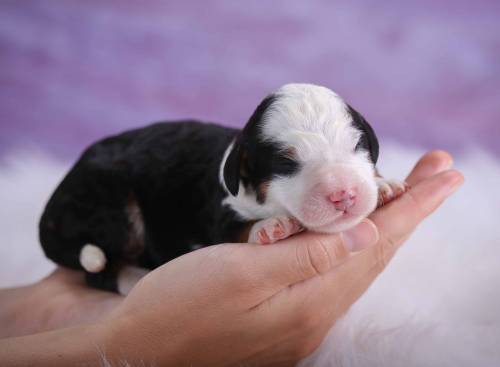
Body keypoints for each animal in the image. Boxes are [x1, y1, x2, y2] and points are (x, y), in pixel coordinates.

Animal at [39, 83, 406, 294]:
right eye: (286, 164)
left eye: (357, 146)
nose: (344, 194)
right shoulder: (220, 209)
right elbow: (238, 227)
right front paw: (270, 226)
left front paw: (383, 184)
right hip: (110, 204)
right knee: (100, 271)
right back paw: (137, 280)